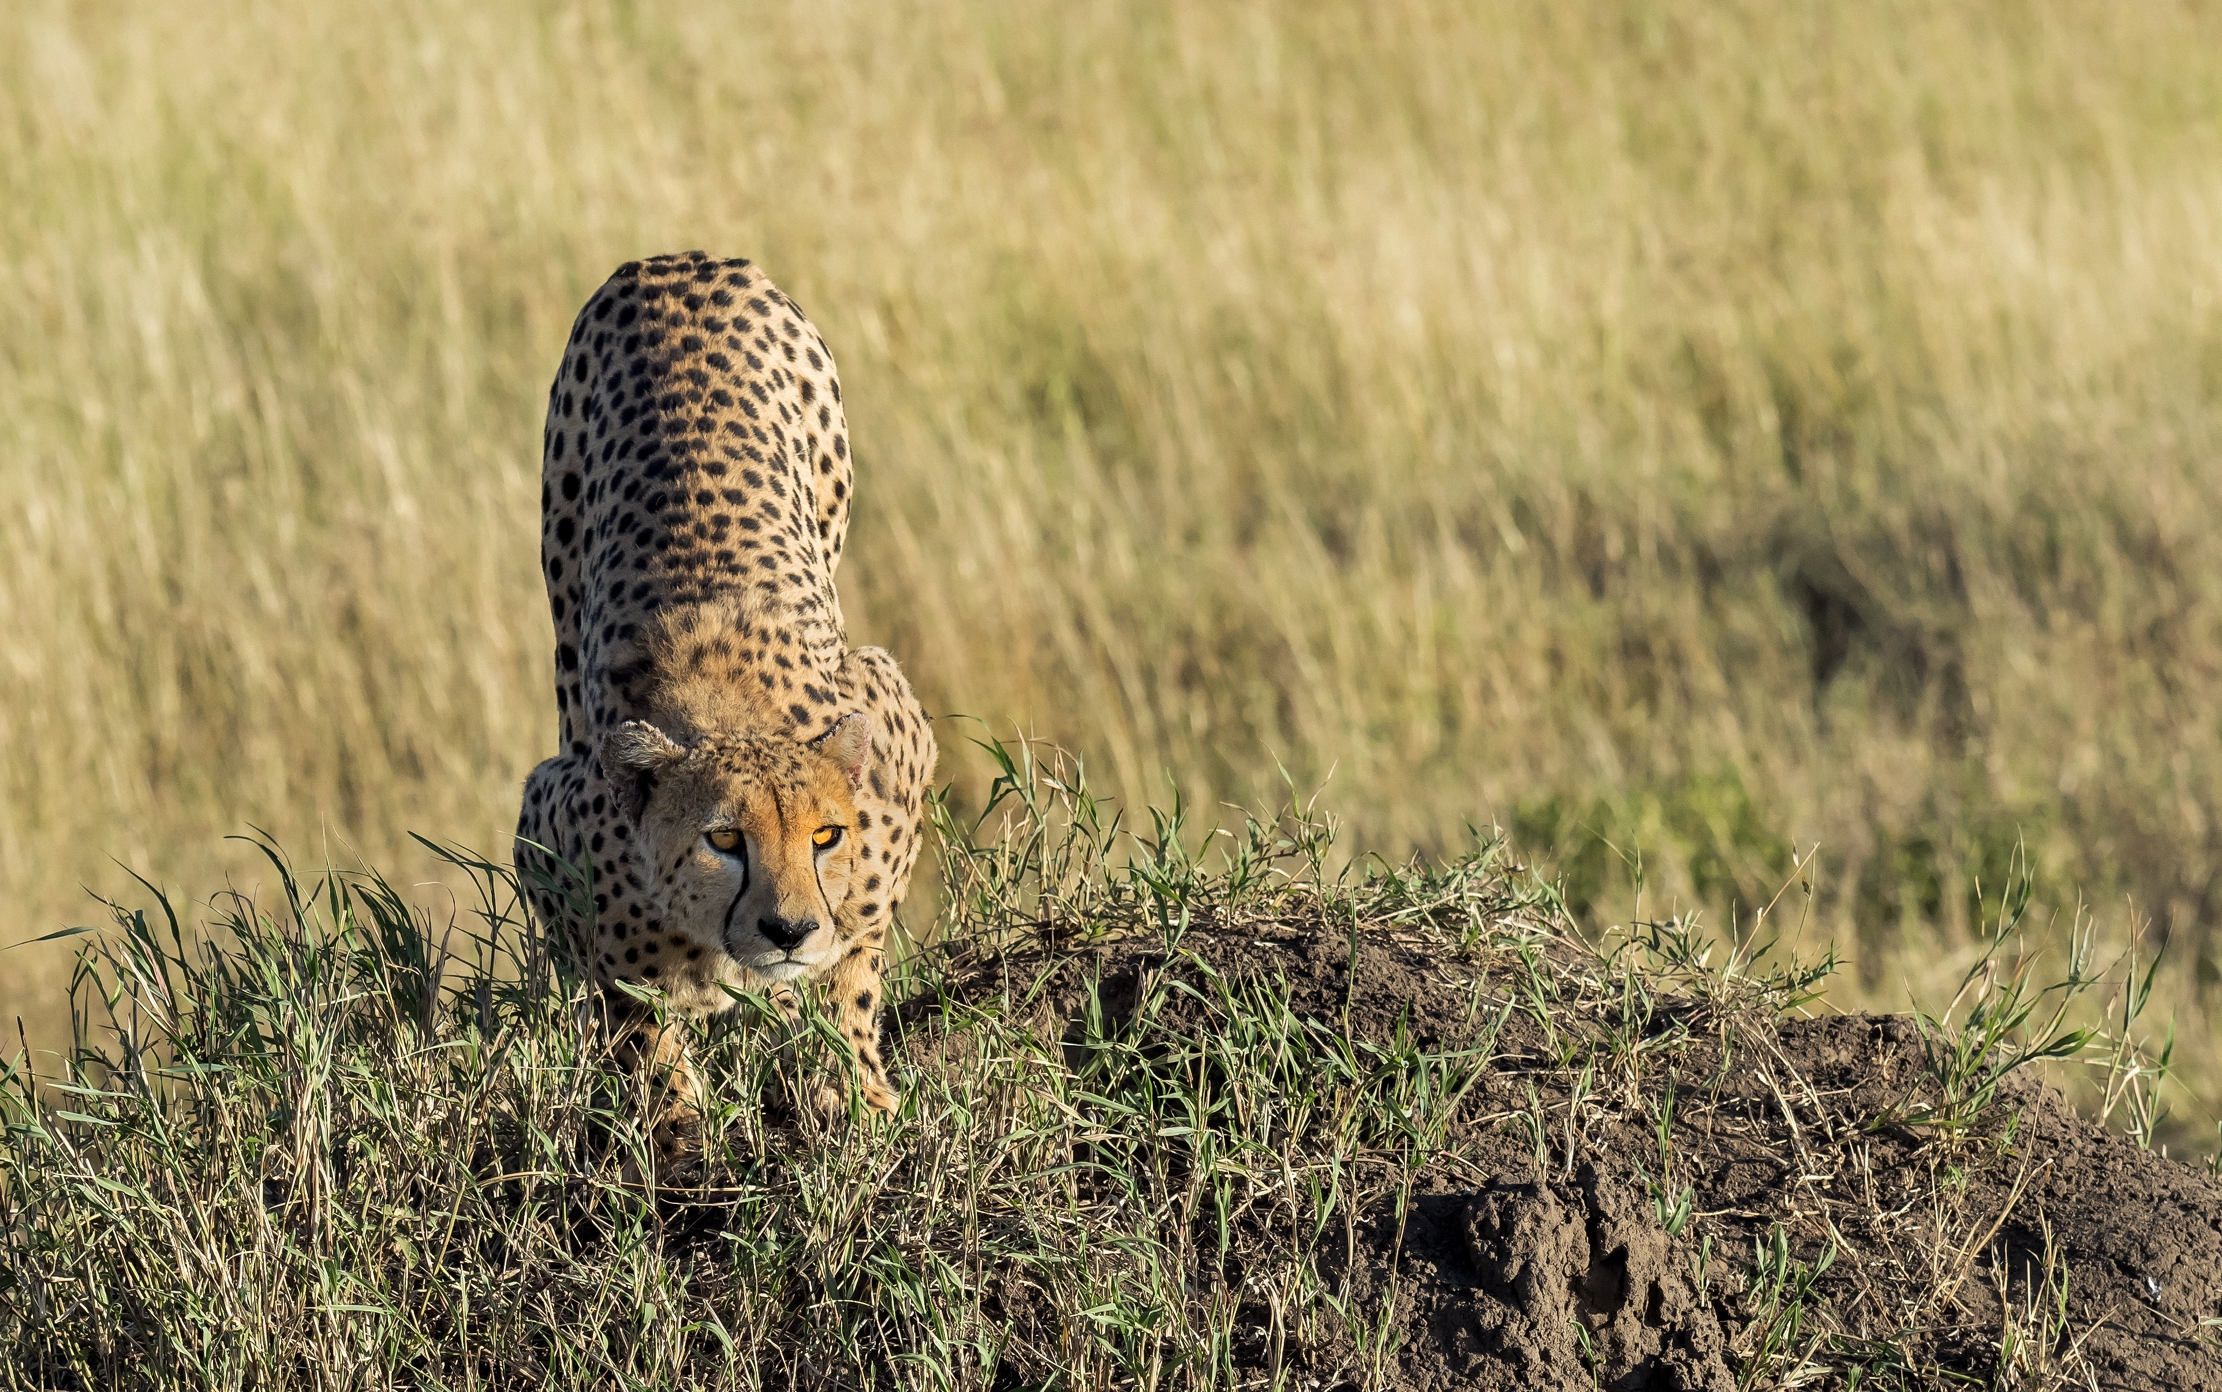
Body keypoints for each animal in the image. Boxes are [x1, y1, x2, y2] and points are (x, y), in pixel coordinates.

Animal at [514, 252, 936, 1160]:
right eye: (724, 840)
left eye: (825, 836)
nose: (788, 931)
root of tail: (671, 259)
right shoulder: (549, 818)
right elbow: (633, 1010)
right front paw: (675, 1127)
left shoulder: (896, 735)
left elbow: (856, 965)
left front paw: (855, 1093)